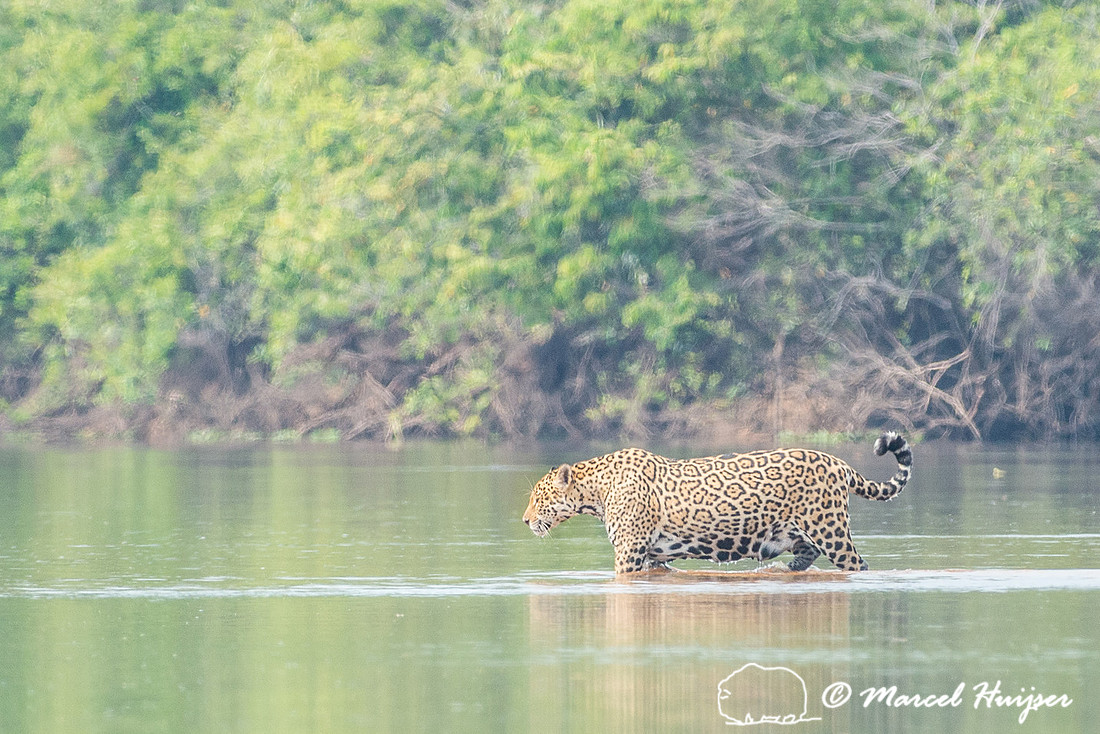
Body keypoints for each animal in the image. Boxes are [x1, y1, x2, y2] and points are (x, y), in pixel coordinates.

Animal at [522, 432, 912, 574]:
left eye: (538, 498)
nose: (525, 521)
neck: (597, 489)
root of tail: (838, 462)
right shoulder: (654, 555)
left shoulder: (629, 553)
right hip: (797, 531)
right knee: (806, 553)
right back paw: (784, 570)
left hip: (831, 531)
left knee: (858, 564)